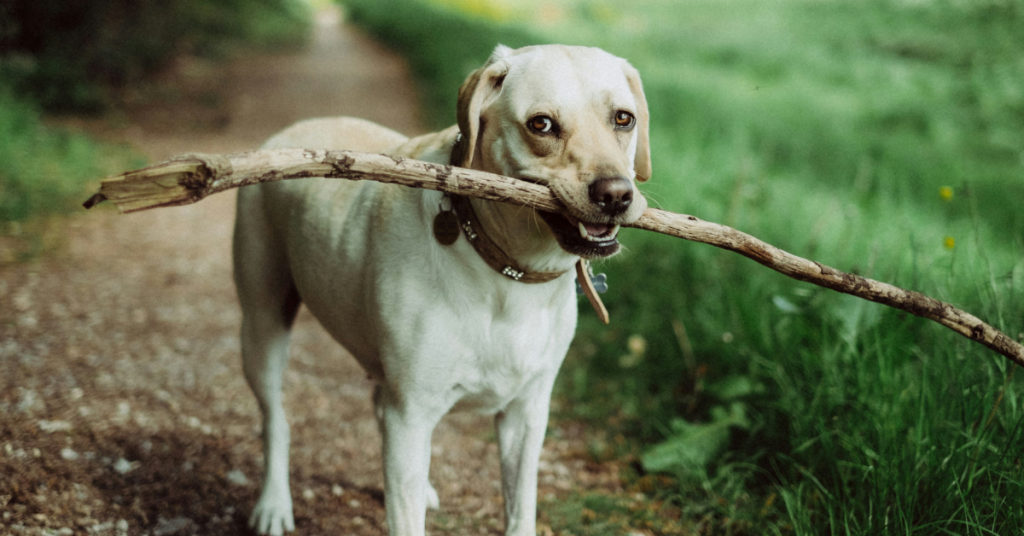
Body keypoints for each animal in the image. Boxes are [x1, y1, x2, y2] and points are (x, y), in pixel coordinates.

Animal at [232, 44, 647, 532]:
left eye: (623, 119)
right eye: (541, 124)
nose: (616, 194)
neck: (506, 272)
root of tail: (288, 132)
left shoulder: (526, 413)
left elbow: (520, 507)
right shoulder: (411, 415)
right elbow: (405, 514)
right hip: (263, 325)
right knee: (276, 420)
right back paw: (274, 504)